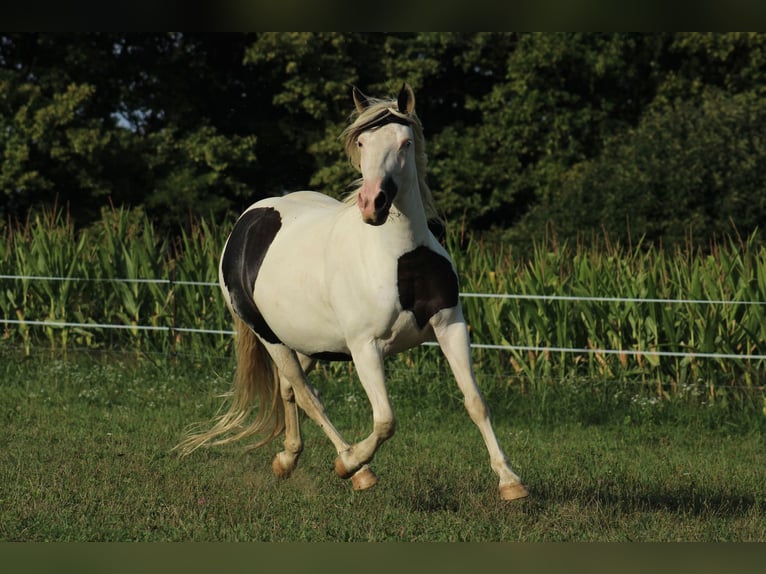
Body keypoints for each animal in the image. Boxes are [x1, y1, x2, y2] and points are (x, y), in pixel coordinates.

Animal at [176, 83, 528, 501]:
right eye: (362, 141)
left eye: (405, 142)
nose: (373, 203)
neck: (401, 257)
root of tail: (247, 222)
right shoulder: (365, 347)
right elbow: (386, 420)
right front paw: (351, 465)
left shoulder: (450, 326)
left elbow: (475, 402)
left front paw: (510, 481)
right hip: (270, 338)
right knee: (308, 395)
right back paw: (353, 468)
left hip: (307, 343)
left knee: (290, 389)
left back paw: (287, 458)